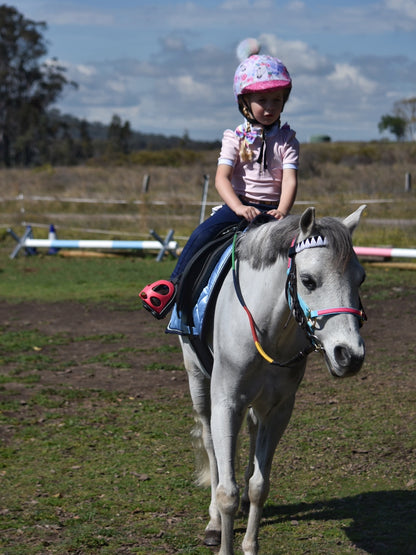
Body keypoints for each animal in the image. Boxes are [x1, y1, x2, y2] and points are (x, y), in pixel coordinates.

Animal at [179, 207, 364, 555]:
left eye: (360, 279)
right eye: (308, 281)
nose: (349, 355)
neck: (268, 328)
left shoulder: (278, 410)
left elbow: (259, 486)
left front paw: (250, 544)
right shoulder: (226, 404)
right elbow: (226, 491)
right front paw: (223, 537)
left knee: (251, 434)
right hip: (198, 382)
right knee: (211, 446)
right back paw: (213, 523)